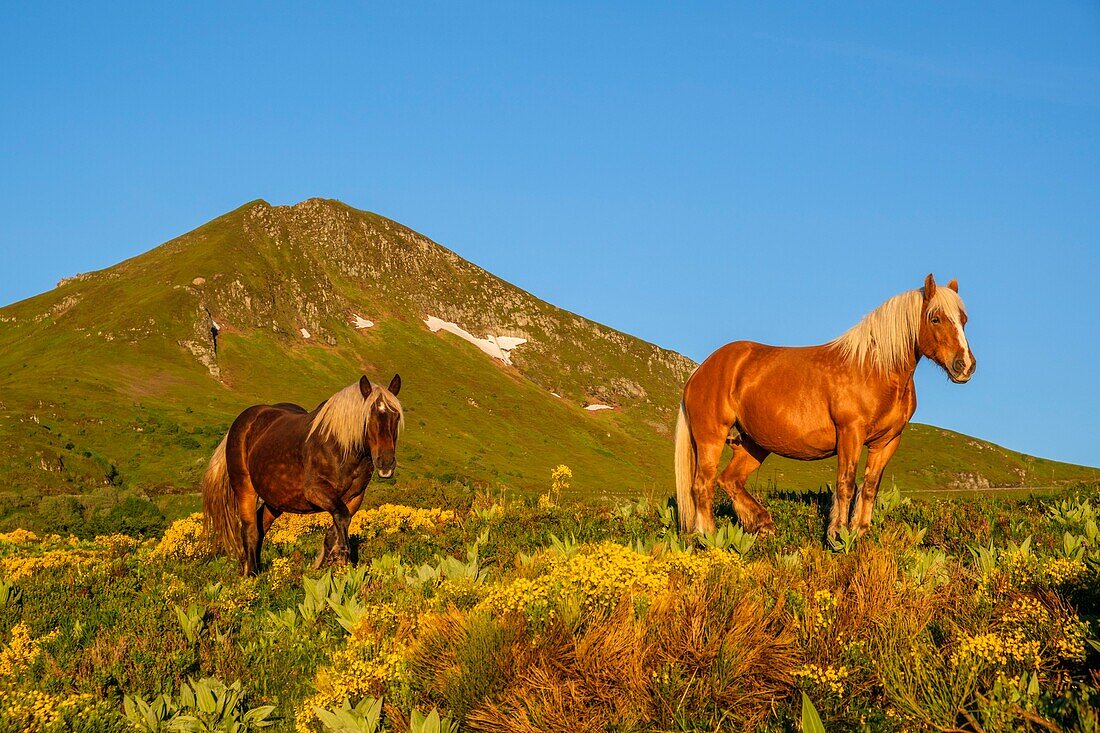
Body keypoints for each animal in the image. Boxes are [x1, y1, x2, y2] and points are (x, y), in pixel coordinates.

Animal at [202, 374, 404, 572]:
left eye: (396, 416)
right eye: (368, 416)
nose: (386, 462)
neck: (340, 447)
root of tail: (242, 423)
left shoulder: (355, 497)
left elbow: (335, 528)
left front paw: (325, 564)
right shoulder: (316, 491)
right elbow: (342, 517)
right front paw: (340, 557)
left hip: (275, 500)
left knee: (261, 526)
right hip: (245, 489)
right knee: (250, 530)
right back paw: (251, 575)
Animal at [673, 274, 976, 537]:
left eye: (963, 320)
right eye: (935, 318)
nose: (965, 365)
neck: (875, 369)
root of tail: (701, 371)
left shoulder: (887, 441)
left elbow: (869, 487)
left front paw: (860, 533)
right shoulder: (850, 433)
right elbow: (846, 483)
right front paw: (838, 534)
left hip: (753, 444)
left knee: (729, 480)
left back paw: (763, 524)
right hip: (711, 438)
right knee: (703, 486)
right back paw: (709, 537)